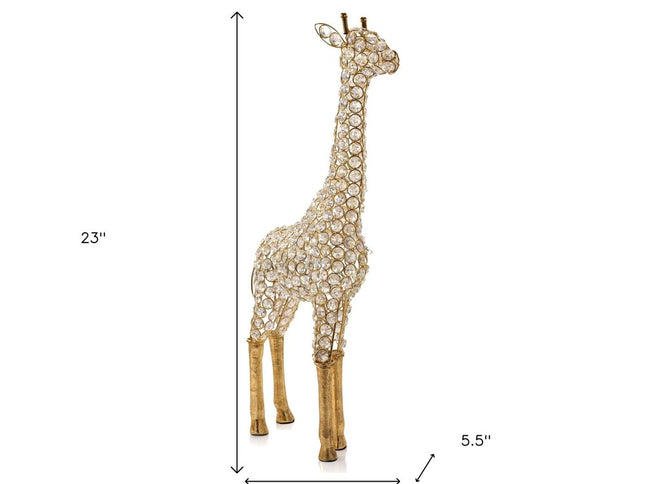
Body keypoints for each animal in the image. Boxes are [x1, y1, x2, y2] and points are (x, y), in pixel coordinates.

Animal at [247, 13, 399, 462]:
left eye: (379, 38)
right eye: (360, 47)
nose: (395, 59)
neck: (345, 216)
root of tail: (260, 245)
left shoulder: (344, 296)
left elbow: (338, 357)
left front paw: (342, 440)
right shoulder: (326, 295)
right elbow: (321, 361)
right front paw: (327, 451)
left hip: (287, 298)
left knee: (276, 334)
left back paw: (284, 415)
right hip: (267, 293)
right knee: (254, 336)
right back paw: (259, 426)